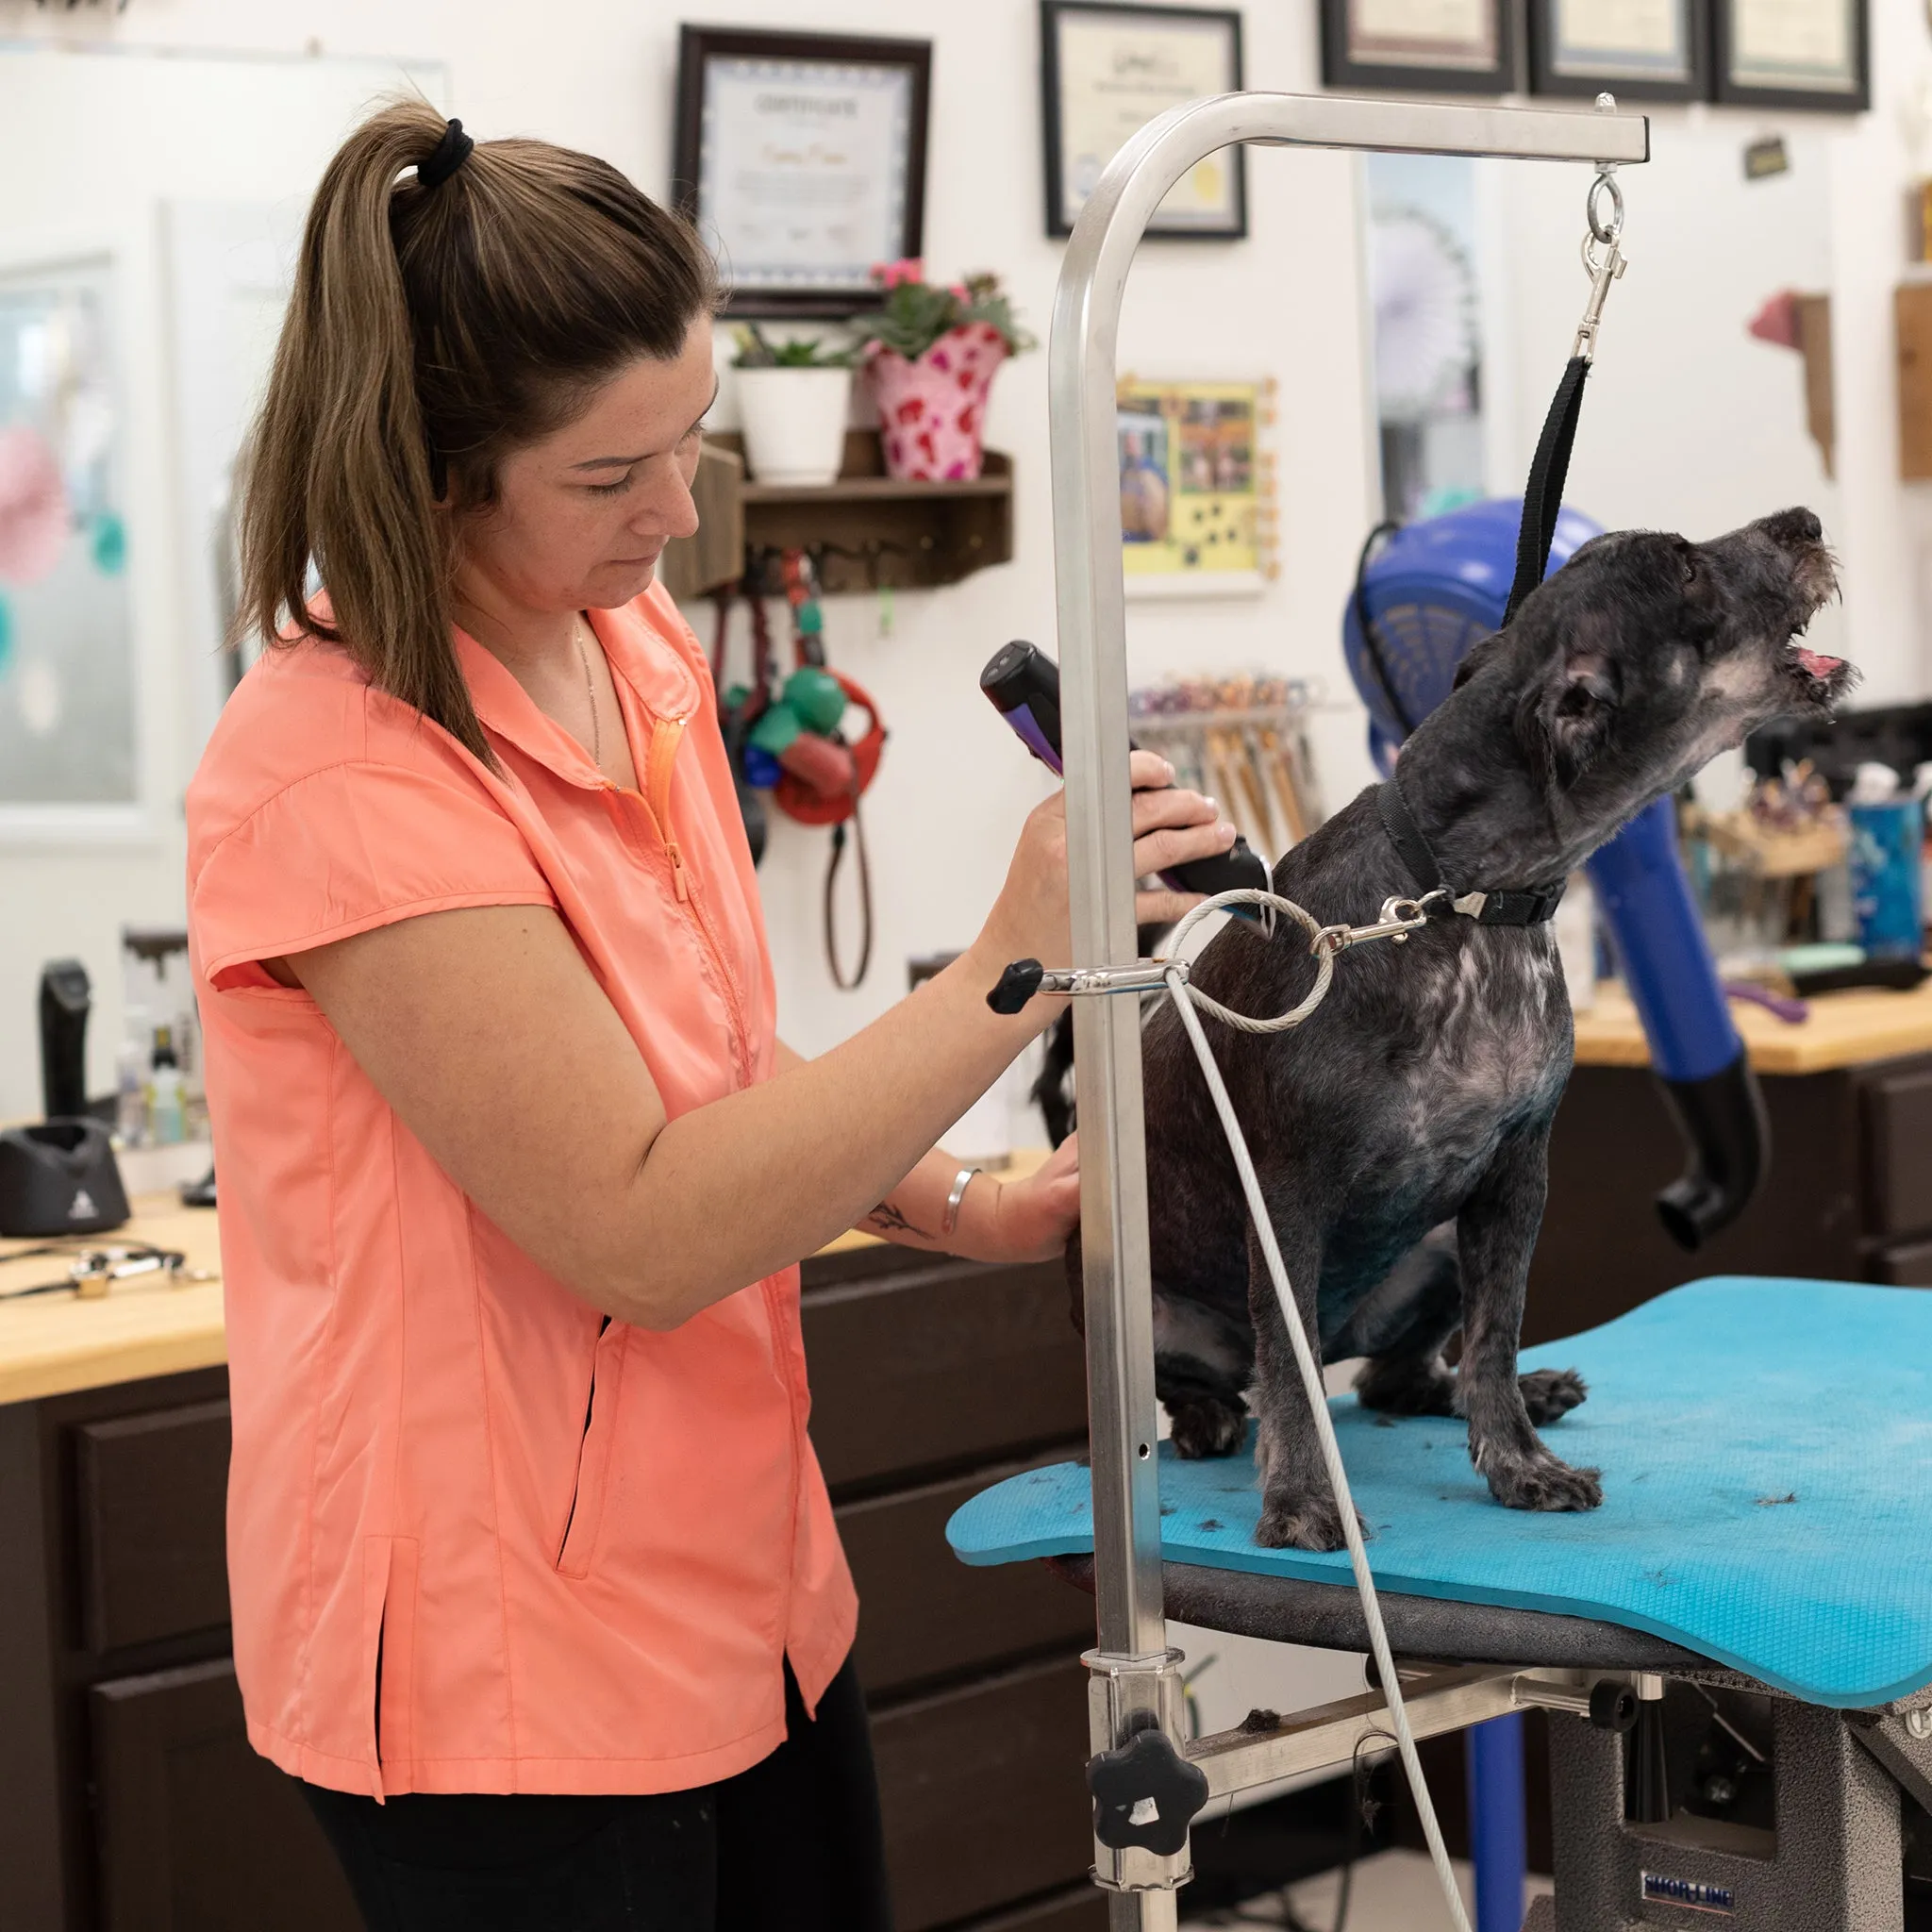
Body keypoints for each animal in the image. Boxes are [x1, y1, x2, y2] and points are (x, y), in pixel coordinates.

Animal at [1051, 506, 1846, 1545]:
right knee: (1241, 1379)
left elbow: (1496, 1334)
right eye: (1683, 568)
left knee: (1403, 1376)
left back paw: (1513, 1392)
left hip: (1430, 1246)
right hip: (1136, 1308)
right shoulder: (1287, 1197)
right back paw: (1204, 1418)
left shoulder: (1514, 1178)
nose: (1805, 519)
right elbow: (1289, 1371)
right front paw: (1301, 1499)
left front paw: (1516, 1458)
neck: (1455, 902)